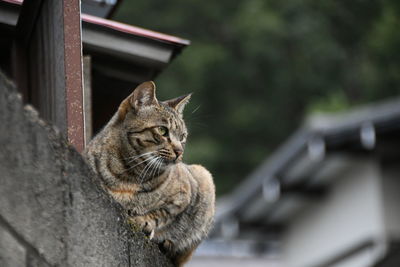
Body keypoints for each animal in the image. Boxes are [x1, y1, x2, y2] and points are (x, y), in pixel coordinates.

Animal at [85, 82, 216, 267]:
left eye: (182, 136)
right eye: (162, 131)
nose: (180, 151)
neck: (129, 173)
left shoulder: (183, 197)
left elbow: (161, 214)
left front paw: (143, 221)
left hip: (204, 178)